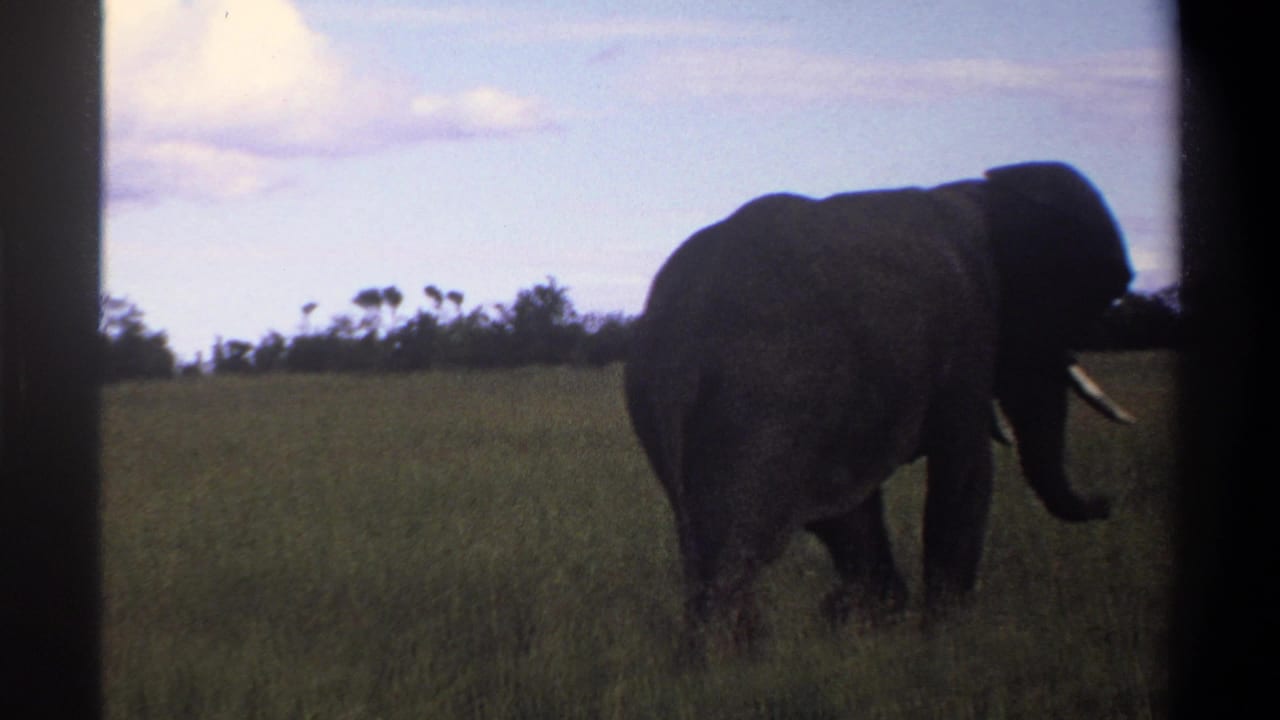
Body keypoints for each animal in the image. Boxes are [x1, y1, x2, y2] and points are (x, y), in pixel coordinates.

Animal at [623, 161, 1135, 652]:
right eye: (1083, 305)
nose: (1108, 502)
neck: (985, 192)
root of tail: (678, 328)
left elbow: (856, 509)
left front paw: (871, 622)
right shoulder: (969, 323)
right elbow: (966, 469)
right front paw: (944, 638)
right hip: (761, 402)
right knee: (742, 547)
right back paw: (727, 658)